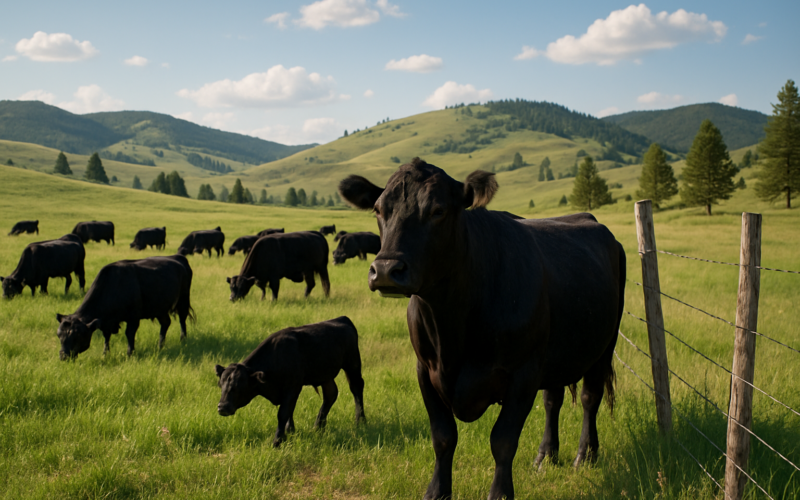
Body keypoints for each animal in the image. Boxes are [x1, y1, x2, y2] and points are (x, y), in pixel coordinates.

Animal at [55, 255, 194, 360]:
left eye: (77, 335)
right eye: (59, 335)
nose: (63, 356)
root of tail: (178, 257)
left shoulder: (133, 317)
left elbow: (129, 334)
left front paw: (130, 353)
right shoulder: (106, 322)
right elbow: (106, 336)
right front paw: (105, 353)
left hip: (183, 300)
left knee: (182, 319)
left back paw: (183, 339)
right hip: (159, 308)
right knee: (166, 323)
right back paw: (160, 346)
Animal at [215, 316, 366, 447]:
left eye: (239, 386)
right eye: (221, 385)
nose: (222, 407)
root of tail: (342, 318)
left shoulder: (293, 388)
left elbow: (283, 413)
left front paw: (278, 441)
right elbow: (289, 411)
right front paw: (290, 432)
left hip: (352, 363)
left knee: (356, 388)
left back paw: (360, 420)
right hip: (325, 375)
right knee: (331, 395)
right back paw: (318, 426)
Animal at [338, 157, 625, 500]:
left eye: (437, 210)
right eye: (379, 210)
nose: (385, 270)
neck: (451, 327)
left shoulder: (523, 373)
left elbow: (502, 441)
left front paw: (500, 493)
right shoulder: (425, 369)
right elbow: (443, 436)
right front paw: (437, 491)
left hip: (603, 345)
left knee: (589, 398)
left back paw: (585, 455)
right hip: (555, 354)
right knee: (552, 401)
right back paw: (546, 456)